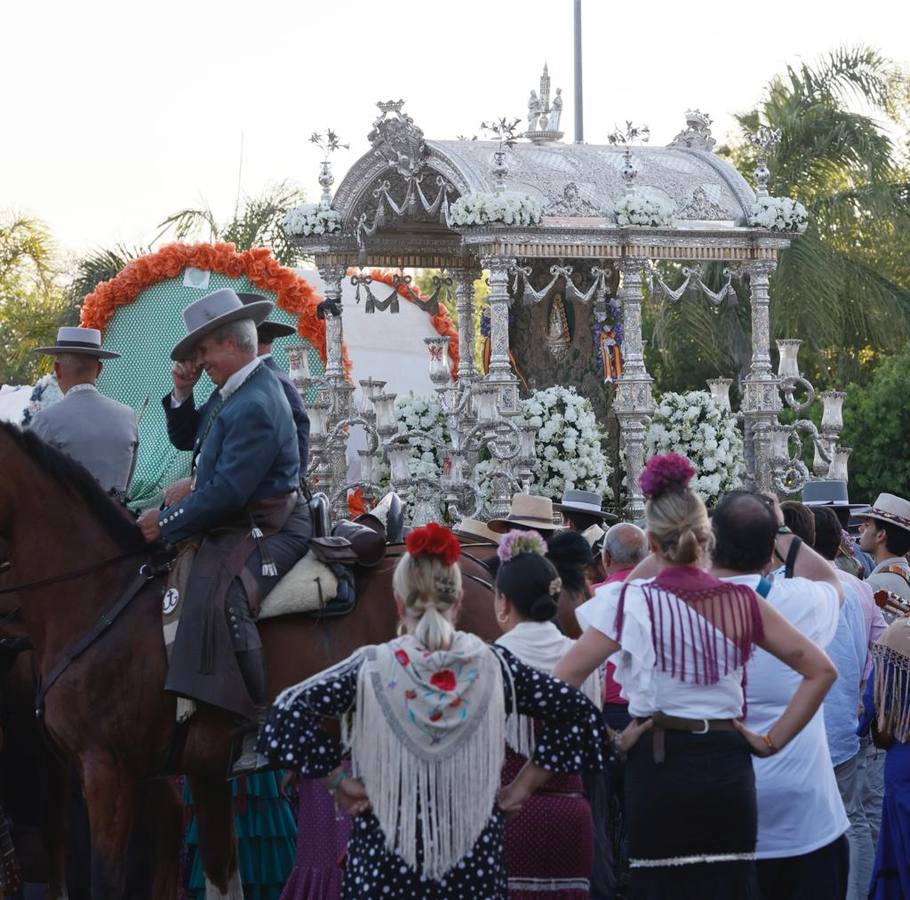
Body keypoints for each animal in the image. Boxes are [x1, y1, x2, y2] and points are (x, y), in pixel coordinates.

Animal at [0, 424, 498, 900]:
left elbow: (105, 879)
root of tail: (482, 576)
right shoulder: (196, 771)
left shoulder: (105, 771)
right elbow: (221, 877)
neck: (104, 597)